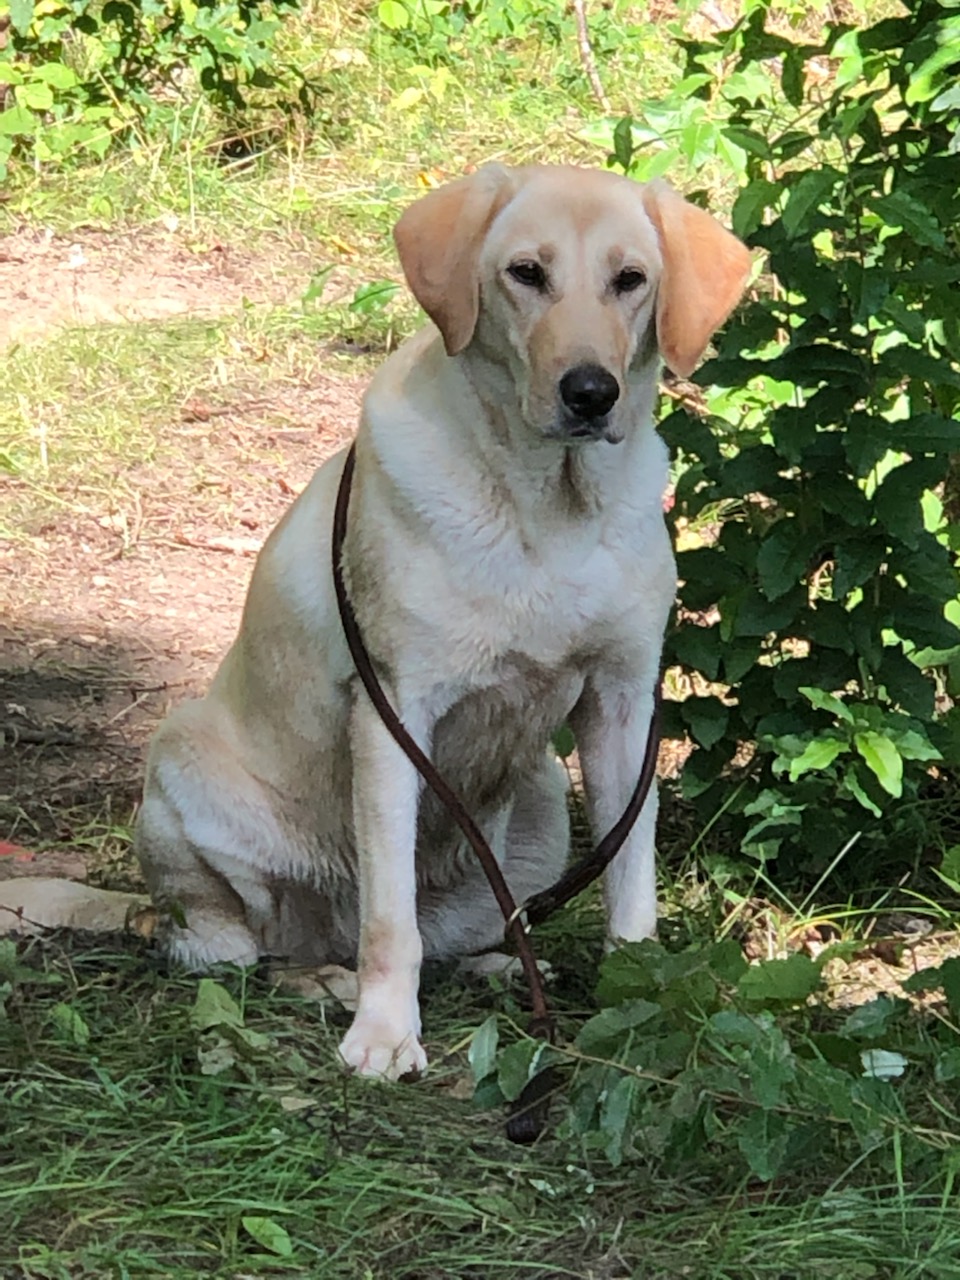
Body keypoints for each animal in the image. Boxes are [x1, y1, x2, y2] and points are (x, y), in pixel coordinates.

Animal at [135, 162, 752, 1080]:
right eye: (525, 273)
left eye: (631, 279)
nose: (590, 392)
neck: (547, 507)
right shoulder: (395, 714)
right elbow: (391, 922)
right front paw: (386, 1034)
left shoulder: (622, 705)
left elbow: (630, 878)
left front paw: (640, 998)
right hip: (183, 779)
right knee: (250, 946)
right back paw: (326, 980)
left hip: (540, 805)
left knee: (467, 928)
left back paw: (499, 965)